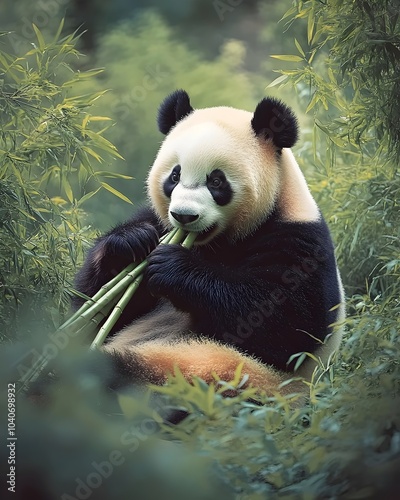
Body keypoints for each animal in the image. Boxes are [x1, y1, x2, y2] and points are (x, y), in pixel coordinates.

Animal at [74, 91, 344, 398]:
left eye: (216, 181)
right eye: (175, 176)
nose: (184, 216)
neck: (214, 244)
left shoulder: (299, 242)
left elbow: (287, 325)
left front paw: (171, 267)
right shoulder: (159, 221)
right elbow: (94, 306)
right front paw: (131, 242)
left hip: (218, 374)